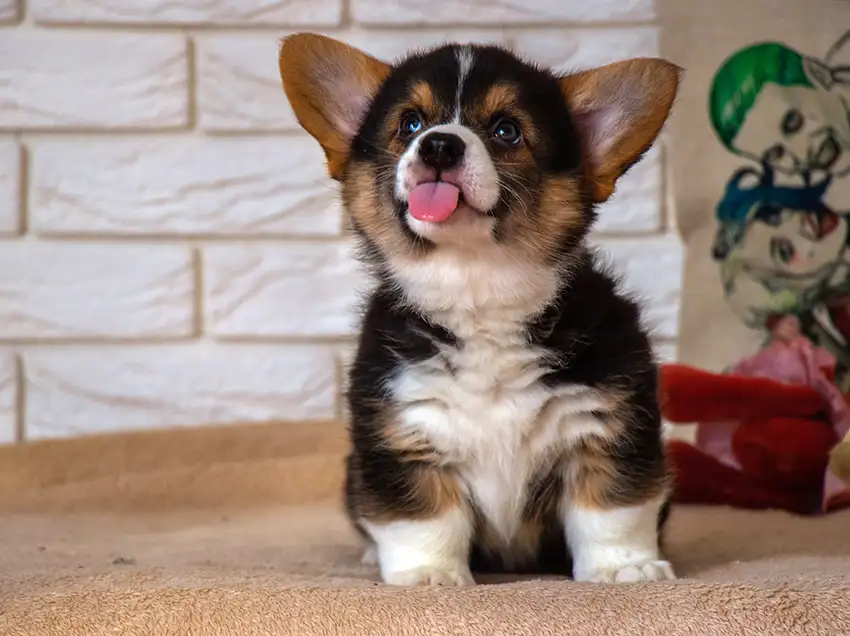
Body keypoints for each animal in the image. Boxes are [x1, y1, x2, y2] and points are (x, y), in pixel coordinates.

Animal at [282, 33, 680, 588]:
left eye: (506, 130)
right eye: (410, 124)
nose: (439, 145)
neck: (477, 290)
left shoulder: (608, 428)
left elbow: (611, 511)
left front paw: (627, 567)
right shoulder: (405, 434)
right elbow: (424, 518)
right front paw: (428, 574)